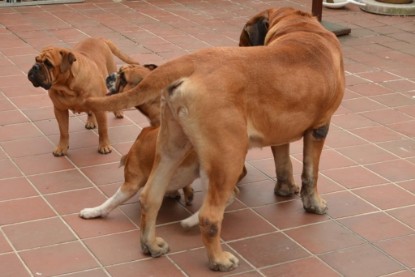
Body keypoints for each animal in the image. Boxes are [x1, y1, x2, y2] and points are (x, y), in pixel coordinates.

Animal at [83, 7, 344, 270]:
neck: (301, 28)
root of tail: (191, 61)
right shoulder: (320, 127)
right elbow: (310, 173)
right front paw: (314, 204)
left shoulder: (280, 131)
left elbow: (284, 162)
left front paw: (286, 189)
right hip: (228, 157)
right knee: (209, 216)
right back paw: (218, 260)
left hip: (171, 148)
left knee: (150, 197)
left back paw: (151, 245)